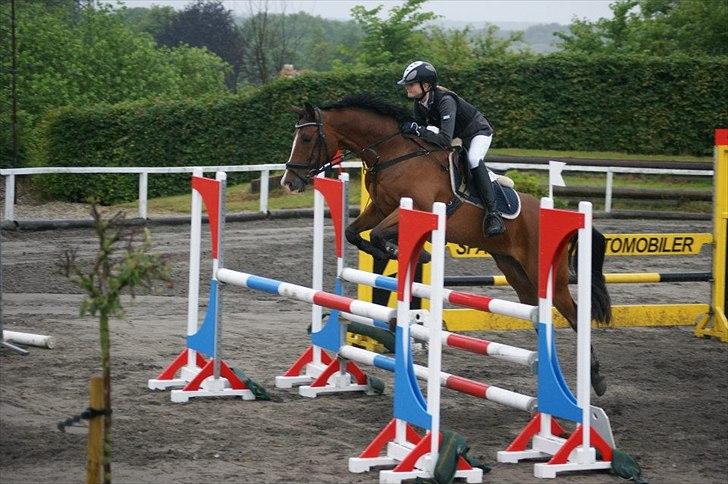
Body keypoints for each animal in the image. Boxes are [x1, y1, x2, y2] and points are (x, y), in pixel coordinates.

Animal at [281, 95, 611, 395]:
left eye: (307, 138)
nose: (288, 182)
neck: (392, 154)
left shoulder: (416, 209)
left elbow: (378, 235)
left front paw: (411, 253)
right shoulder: (378, 209)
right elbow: (353, 233)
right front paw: (404, 254)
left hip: (547, 275)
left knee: (574, 315)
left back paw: (595, 378)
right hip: (517, 273)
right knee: (540, 315)